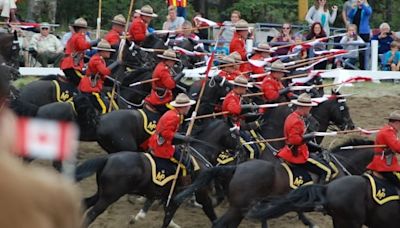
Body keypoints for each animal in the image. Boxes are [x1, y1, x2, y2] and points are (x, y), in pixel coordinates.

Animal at [76, 118, 239, 227]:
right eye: (235, 135)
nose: (239, 149)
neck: (199, 155)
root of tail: (108, 158)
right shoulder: (199, 194)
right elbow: (210, 213)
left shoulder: (171, 198)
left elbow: (166, 217)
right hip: (109, 196)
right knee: (91, 213)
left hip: (102, 192)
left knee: (85, 203)